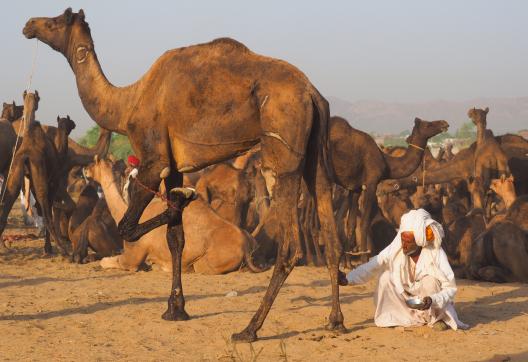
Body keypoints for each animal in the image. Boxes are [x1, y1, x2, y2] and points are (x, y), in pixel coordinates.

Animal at [85, 158, 266, 274]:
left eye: (93, 163)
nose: (85, 170)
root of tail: (246, 247)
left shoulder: (132, 256)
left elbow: (107, 261)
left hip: (205, 264)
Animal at [330, 116, 446, 260]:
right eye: (428, 124)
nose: (444, 123)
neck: (387, 163)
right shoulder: (371, 183)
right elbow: (364, 223)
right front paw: (363, 259)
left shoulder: (355, 187)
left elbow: (351, 224)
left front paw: (347, 261)